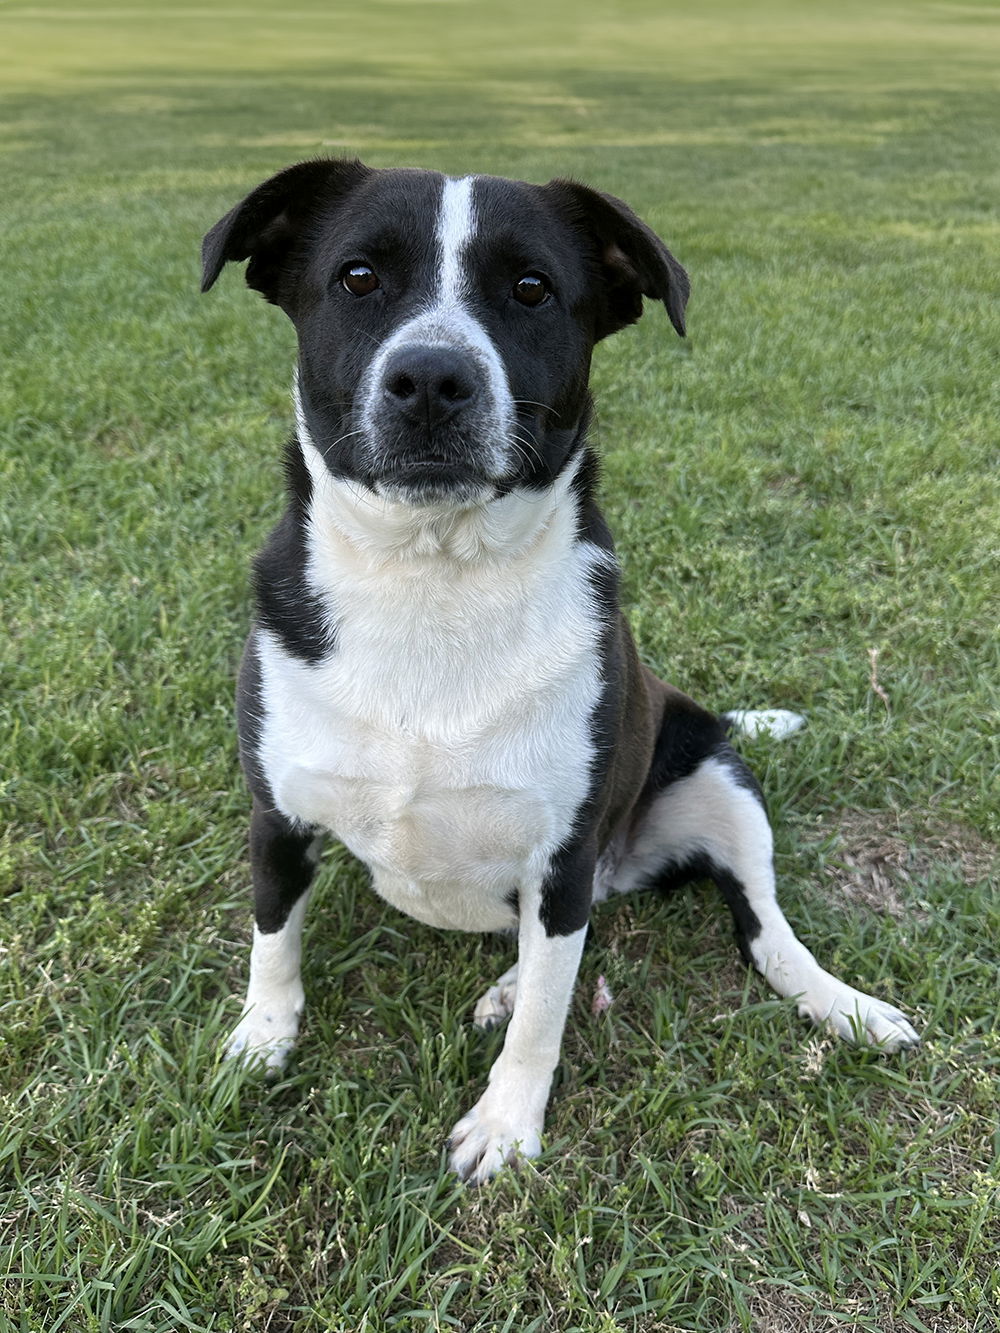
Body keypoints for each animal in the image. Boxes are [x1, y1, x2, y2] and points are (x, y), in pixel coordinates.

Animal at [200, 158, 922, 1189]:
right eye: (358, 277)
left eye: (533, 288)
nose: (432, 379)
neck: (434, 581)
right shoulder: (277, 815)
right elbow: (272, 942)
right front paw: (262, 1038)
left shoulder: (562, 849)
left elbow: (547, 1015)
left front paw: (507, 1121)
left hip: (717, 786)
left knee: (754, 933)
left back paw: (842, 1003)